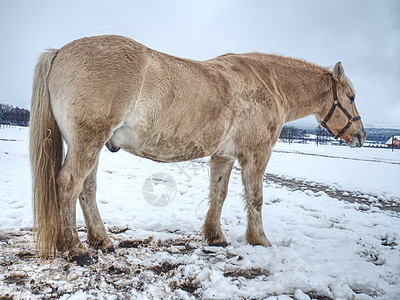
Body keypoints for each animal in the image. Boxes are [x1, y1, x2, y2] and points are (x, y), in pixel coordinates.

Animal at [28, 35, 366, 264]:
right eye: (350, 97)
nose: (361, 136)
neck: (267, 84)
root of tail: (60, 53)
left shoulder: (223, 156)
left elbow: (219, 194)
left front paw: (216, 237)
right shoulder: (256, 155)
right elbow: (255, 198)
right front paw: (259, 240)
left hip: (91, 145)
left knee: (87, 189)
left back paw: (102, 241)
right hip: (87, 142)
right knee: (69, 185)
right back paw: (77, 249)